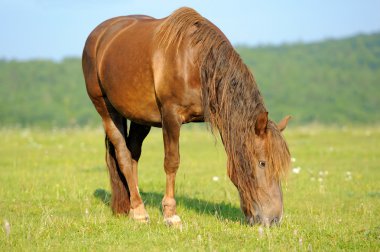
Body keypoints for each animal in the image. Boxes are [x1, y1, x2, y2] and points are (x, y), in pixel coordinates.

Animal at [82, 6, 290, 227]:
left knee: (133, 154)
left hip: (140, 118)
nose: (274, 219)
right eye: (262, 163)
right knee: (122, 154)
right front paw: (170, 214)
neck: (195, 63)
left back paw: (133, 205)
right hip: (105, 109)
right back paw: (138, 210)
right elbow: (172, 162)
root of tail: (100, 35)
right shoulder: (171, 116)